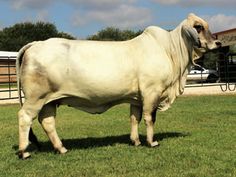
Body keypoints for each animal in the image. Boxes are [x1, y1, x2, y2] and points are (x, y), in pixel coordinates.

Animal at [16, 13, 221, 159]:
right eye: (198, 27)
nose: (217, 42)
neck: (170, 51)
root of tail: (36, 44)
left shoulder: (136, 98)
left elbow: (134, 118)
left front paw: (136, 141)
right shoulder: (151, 92)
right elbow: (149, 118)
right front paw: (151, 142)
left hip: (49, 101)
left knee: (48, 122)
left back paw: (61, 148)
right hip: (35, 98)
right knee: (25, 118)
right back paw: (24, 151)